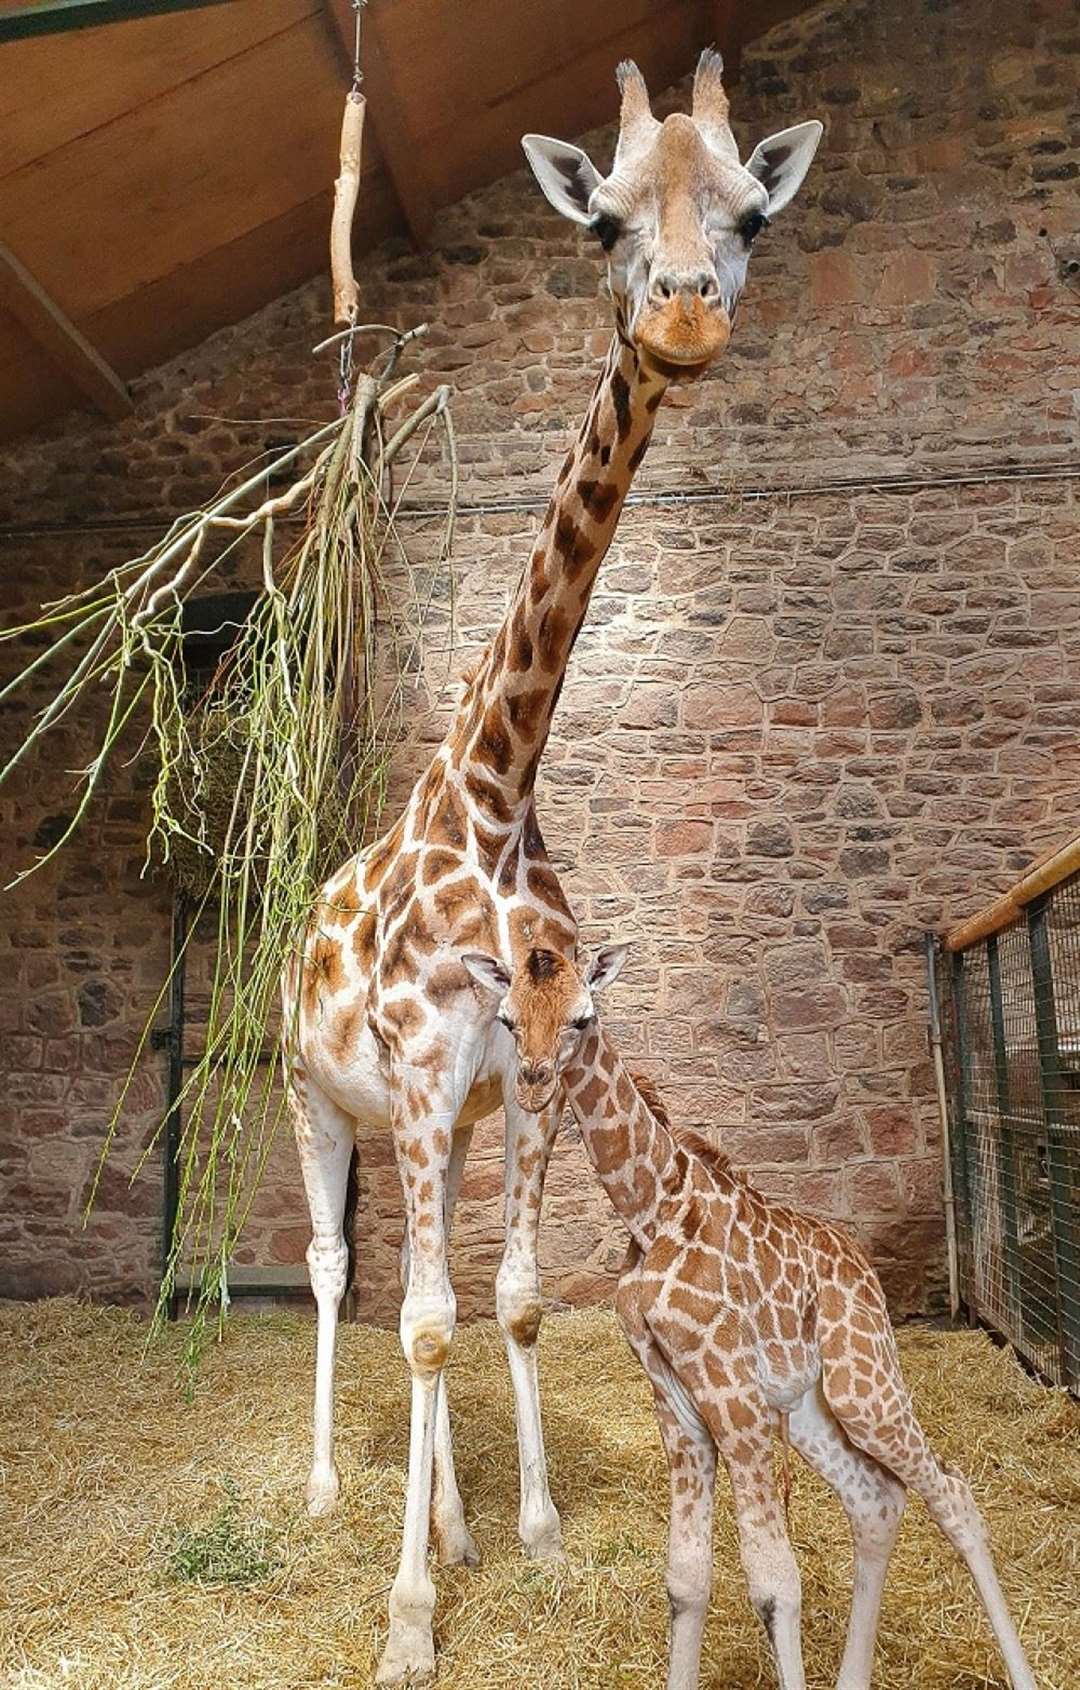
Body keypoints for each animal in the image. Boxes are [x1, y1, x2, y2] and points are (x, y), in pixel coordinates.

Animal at [283, 49, 824, 1676]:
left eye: (751, 213)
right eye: (602, 223)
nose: (686, 311)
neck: (496, 789)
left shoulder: (511, 1075)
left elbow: (507, 1301)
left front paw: (519, 1533)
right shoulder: (410, 1067)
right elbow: (415, 1317)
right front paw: (407, 1621)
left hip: (436, 1126)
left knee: (436, 1285)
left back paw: (450, 1516)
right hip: (318, 1104)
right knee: (335, 1270)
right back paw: (326, 1492)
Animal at [466, 946, 1041, 1690]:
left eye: (583, 1018)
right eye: (507, 1019)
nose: (534, 1087)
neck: (651, 1208)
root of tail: (865, 1271)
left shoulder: (733, 1392)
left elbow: (775, 1586)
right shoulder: (676, 1400)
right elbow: (685, 1578)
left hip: (865, 1385)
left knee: (952, 1493)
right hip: (811, 1409)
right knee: (876, 1500)